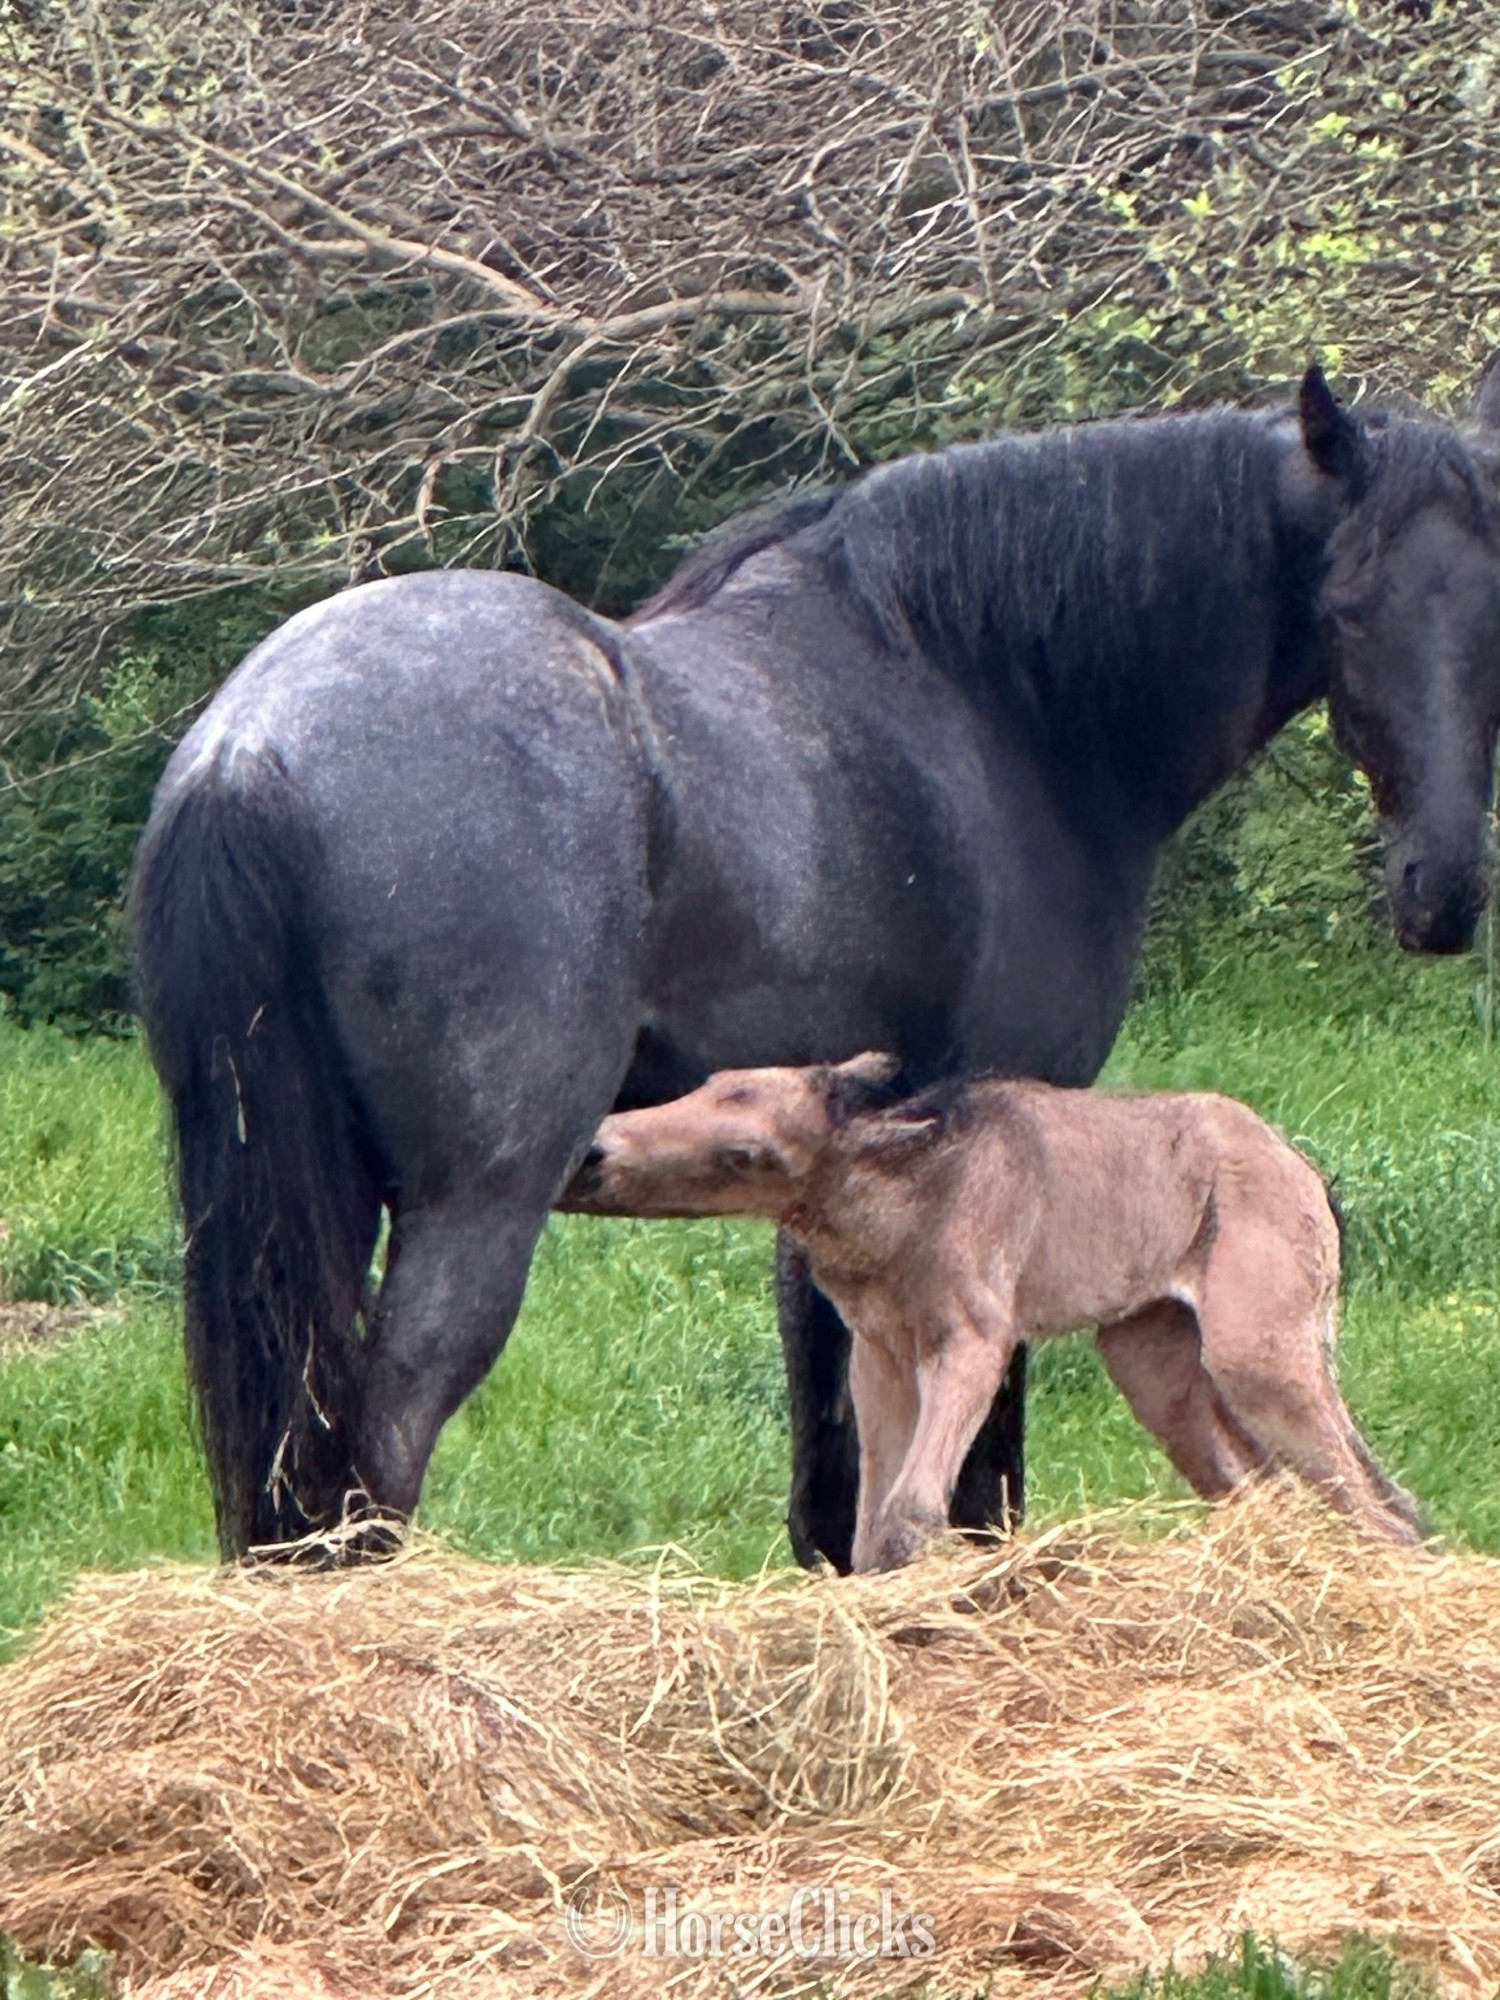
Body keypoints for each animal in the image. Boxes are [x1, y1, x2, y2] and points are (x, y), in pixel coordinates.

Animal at [561, 1054, 1424, 1568]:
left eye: (750, 1156)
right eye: (712, 1085)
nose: (593, 1152)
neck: (899, 1214)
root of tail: (1312, 1177)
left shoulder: (974, 1340)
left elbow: (912, 1512)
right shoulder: (879, 1355)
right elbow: (870, 1524)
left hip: (1255, 1349)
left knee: (1384, 1503)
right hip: (1152, 1363)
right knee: (1275, 1496)